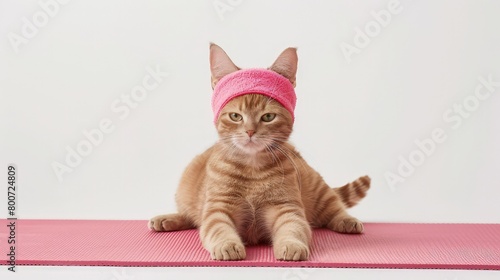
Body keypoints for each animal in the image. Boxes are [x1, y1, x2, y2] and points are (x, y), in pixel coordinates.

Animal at [148, 43, 372, 260]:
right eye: (235, 116)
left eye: (268, 117)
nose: (249, 131)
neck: (252, 168)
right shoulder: (218, 208)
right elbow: (217, 228)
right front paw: (227, 245)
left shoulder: (287, 208)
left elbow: (294, 228)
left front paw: (292, 245)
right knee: (190, 216)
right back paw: (167, 219)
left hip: (319, 190)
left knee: (335, 206)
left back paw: (347, 221)